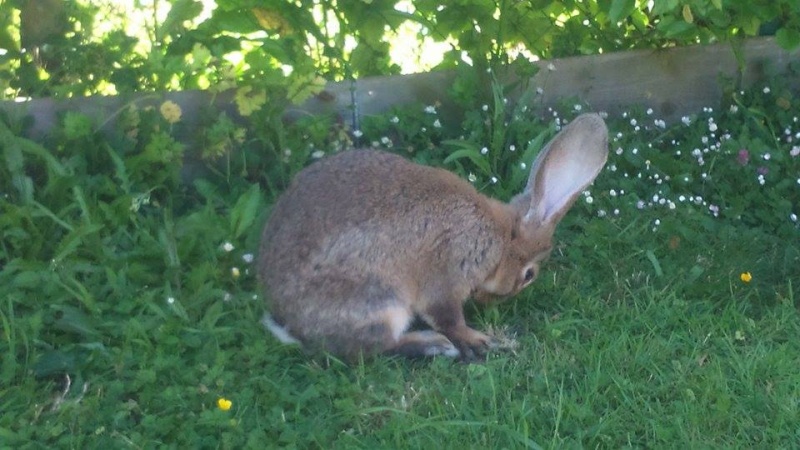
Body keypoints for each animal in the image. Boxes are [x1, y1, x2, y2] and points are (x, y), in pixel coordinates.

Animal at [256, 113, 608, 362]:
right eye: (529, 275)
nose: (499, 300)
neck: (499, 240)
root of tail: (292, 327)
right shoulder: (447, 274)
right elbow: (448, 317)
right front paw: (477, 340)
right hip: (382, 301)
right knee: (376, 347)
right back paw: (436, 346)